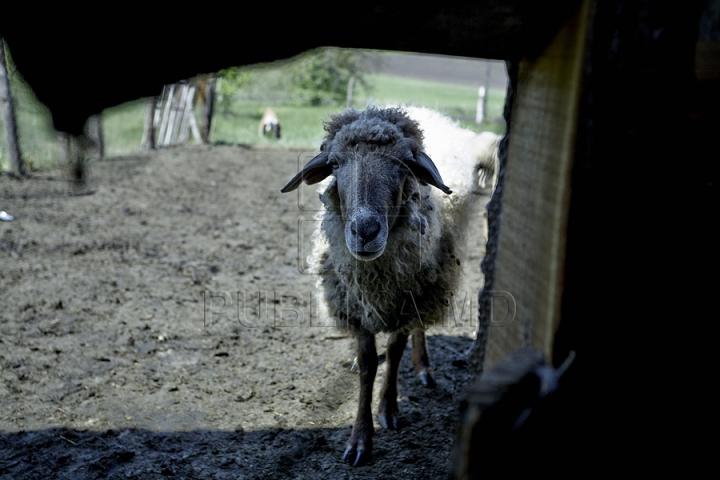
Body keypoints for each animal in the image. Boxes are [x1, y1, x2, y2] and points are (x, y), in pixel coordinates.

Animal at [282, 105, 500, 464]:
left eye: (402, 165)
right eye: (335, 164)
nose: (365, 230)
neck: (377, 279)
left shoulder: (408, 298)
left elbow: (396, 351)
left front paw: (388, 408)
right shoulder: (357, 303)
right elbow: (369, 363)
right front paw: (360, 438)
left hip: (431, 283)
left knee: (419, 329)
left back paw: (423, 368)